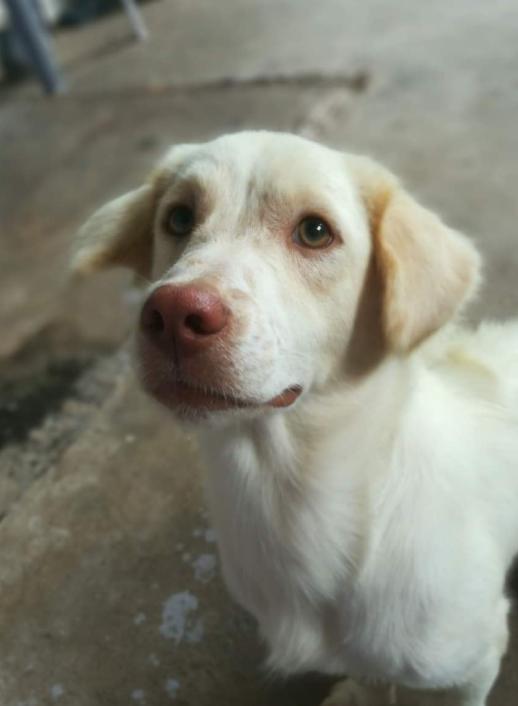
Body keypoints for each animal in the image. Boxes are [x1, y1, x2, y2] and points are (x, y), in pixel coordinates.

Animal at [72, 132, 518, 704]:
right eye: (178, 218)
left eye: (315, 231)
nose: (171, 314)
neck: (288, 496)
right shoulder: (365, 665)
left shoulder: (470, 667)